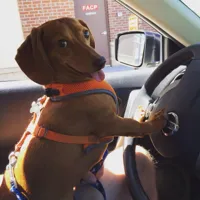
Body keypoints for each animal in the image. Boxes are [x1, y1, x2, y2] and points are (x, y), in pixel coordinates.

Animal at [0, 17, 166, 200]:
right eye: (62, 43)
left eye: (85, 33)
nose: (101, 61)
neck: (69, 88)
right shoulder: (111, 124)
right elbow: (134, 126)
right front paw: (157, 122)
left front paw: (140, 112)